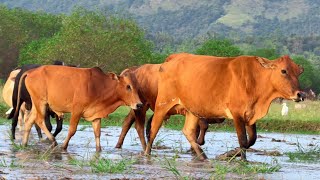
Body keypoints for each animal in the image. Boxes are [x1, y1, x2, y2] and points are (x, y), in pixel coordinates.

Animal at [146, 53, 304, 160]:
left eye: (299, 72)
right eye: (283, 71)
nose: (300, 94)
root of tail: (173, 58)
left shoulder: (250, 115)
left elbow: (252, 140)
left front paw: (228, 154)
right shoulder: (237, 114)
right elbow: (243, 140)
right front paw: (242, 160)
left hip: (192, 110)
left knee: (188, 132)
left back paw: (203, 156)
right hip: (163, 105)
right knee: (153, 130)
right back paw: (147, 153)